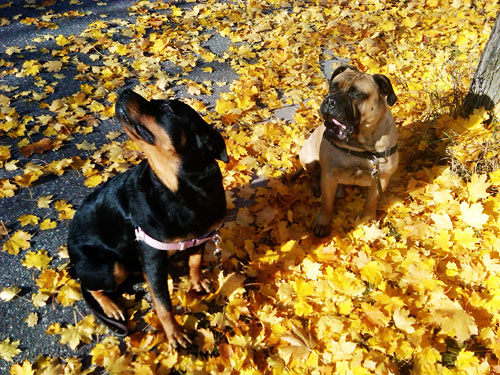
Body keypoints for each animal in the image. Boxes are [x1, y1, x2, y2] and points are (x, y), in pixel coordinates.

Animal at [67, 89, 228, 348]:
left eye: (167, 109)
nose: (125, 90)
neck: (180, 188)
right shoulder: (153, 256)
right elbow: (164, 304)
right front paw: (174, 334)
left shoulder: (202, 237)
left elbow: (195, 261)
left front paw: (197, 281)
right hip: (110, 267)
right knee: (90, 287)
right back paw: (110, 306)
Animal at [298, 65, 400, 236]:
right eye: (333, 87)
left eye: (356, 94)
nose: (330, 101)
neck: (359, 146)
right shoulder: (329, 176)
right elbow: (326, 203)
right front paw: (323, 223)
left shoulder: (381, 178)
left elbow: (371, 202)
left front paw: (368, 220)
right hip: (307, 159)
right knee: (314, 173)